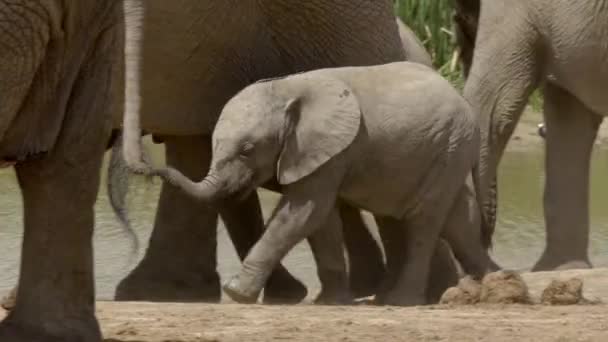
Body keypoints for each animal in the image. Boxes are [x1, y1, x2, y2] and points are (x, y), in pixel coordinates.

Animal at [157, 62, 490, 308]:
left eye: (247, 150)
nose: (152, 164)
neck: (284, 89)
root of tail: (464, 101)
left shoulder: (326, 148)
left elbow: (304, 212)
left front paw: (236, 292)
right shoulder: (318, 155)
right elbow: (320, 220)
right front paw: (330, 302)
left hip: (451, 144)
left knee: (424, 220)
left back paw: (400, 301)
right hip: (442, 151)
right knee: (457, 219)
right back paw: (493, 284)